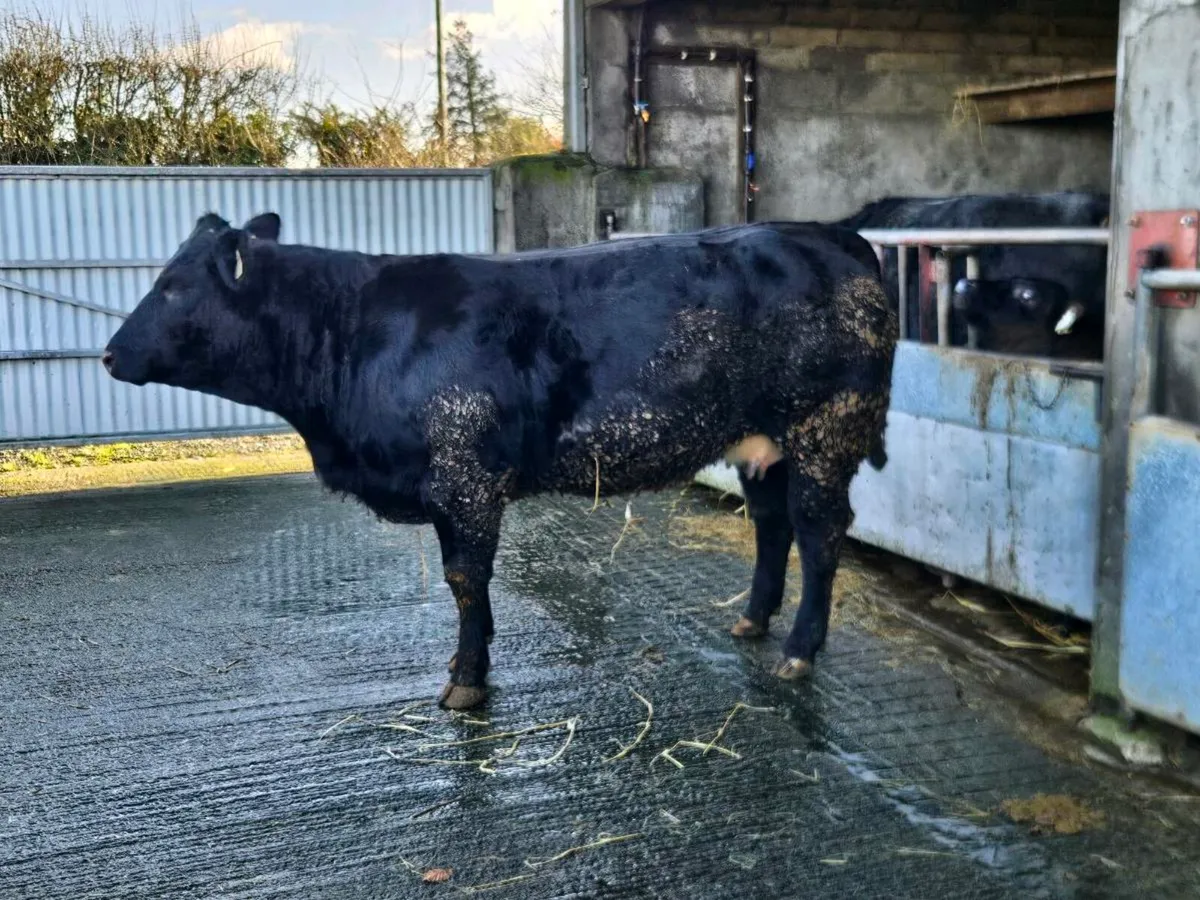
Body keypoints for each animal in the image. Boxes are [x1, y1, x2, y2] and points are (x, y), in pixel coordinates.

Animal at [102, 212, 898, 710]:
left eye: (173, 286)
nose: (108, 354)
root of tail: (833, 234)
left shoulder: (465, 477)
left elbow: (464, 579)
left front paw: (468, 681)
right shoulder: (447, 486)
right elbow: (463, 580)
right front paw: (468, 663)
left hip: (824, 429)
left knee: (819, 532)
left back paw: (799, 648)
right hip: (760, 441)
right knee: (772, 523)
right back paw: (753, 620)